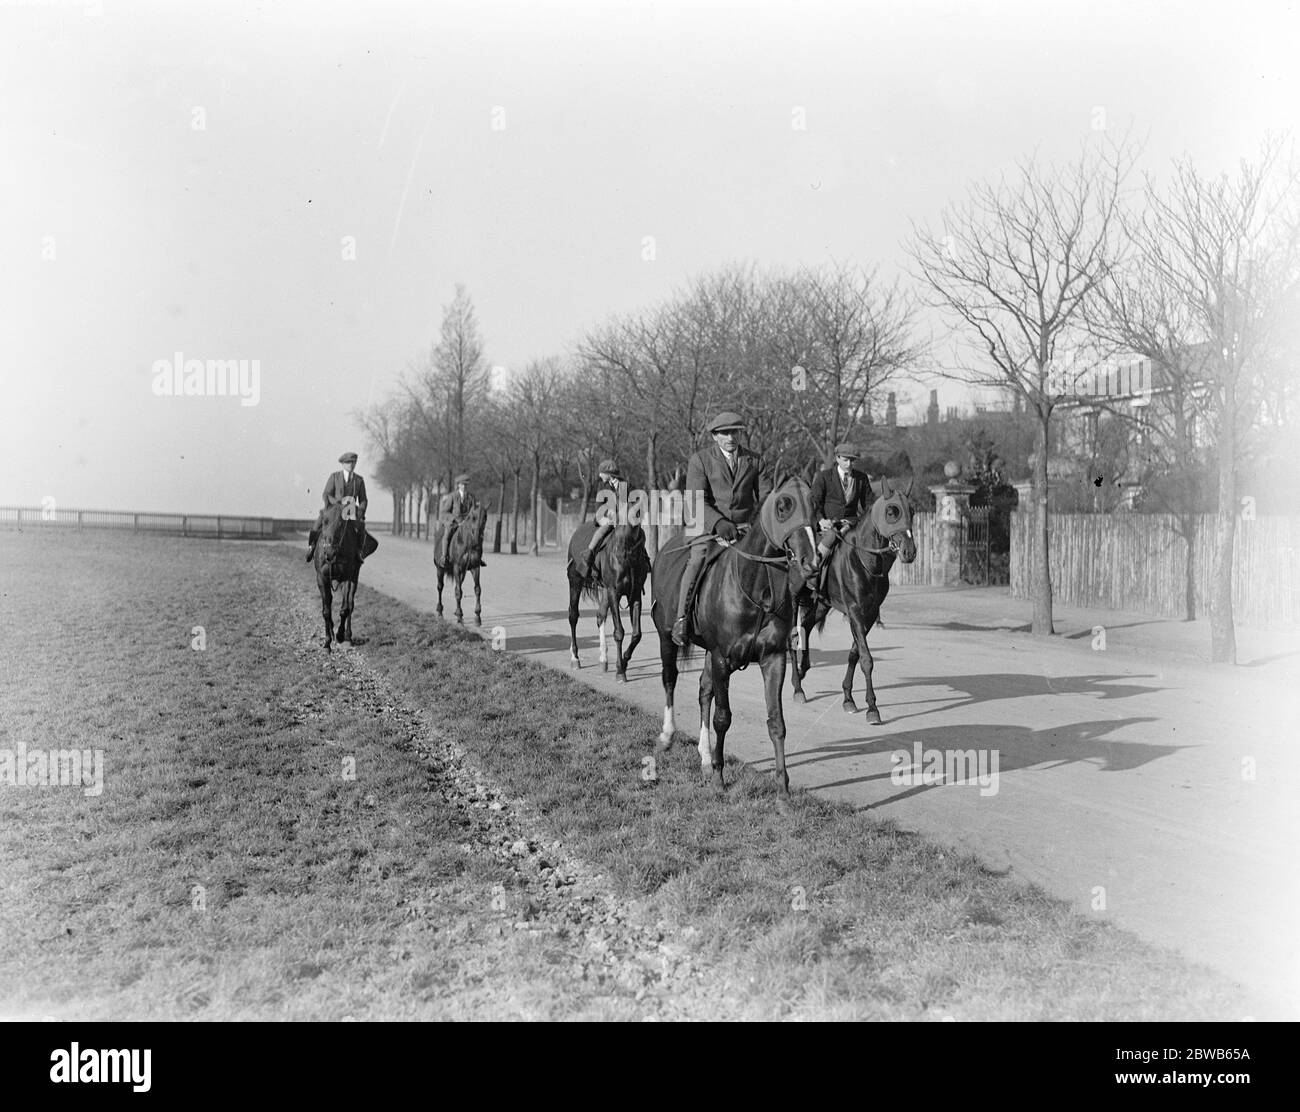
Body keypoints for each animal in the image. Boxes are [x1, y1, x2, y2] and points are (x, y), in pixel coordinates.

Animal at [317, 496, 369, 652]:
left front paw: (339, 635)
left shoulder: (348, 578)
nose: (329, 553)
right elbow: (326, 610)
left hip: (354, 578)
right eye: (325, 521)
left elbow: (344, 609)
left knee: (350, 604)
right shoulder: (322, 578)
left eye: (341, 524)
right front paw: (327, 642)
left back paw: (347, 636)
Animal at [566, 522, 650, 686]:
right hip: (575, 581)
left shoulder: (635, 594)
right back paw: (575, 658)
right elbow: (619, 632)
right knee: (573, 616)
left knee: (600, 616)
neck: (627, 546)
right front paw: (620, 672)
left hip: (604, 590)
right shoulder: (614, 592)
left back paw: (603, 660)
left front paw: (624, 662)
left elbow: (636, 634)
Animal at [650, 473, 811, 806]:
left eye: (813, 503)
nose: (809, 561)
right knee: (670, 678)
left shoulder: (773, 659)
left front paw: (782, 792)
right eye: (783, 506)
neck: (755, 586)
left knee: (704, 690)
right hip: (666, 638)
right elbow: (723, 717)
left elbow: (776, 722)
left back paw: (703, 756)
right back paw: (668, 736)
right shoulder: (722, 658)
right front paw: (719, 780)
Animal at [785, 476, 920, 723]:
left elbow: (854, 654)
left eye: (912, 511)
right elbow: (866, 659)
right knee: (792, 637)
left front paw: (848, 697)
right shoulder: (856, 612)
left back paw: (802, 670)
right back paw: (798, 688)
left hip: (822, 604)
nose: (909, 551)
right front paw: (872, 708)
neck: (865, 560)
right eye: (891, 511)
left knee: (806, 628)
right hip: (792, 598)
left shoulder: (869, 614)